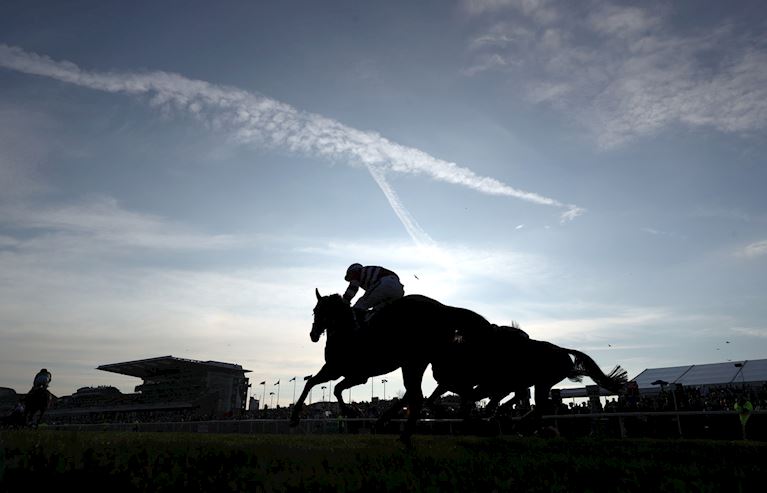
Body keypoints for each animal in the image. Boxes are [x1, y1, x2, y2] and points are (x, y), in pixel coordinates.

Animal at [292, 286, 496, 440]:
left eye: (322, 311)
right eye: (314, 311)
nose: (313, 335)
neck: (347, 334)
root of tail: (443, 307)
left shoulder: (348, 373)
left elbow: (329, 388)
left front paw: (348, 413)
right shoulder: (344, 373)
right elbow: (318, 384)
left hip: (414, 360)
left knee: (419, 393)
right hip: (417, 361)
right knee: (417, 392)